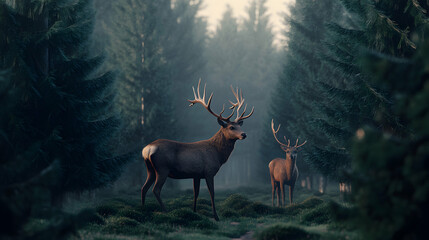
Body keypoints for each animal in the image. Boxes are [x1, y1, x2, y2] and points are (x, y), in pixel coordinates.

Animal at [140, 79, 254, 220]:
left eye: (239, 125)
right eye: (231, 127)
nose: (244, 134)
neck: (218, 154)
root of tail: (147, 149)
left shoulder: (196, 174)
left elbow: (196, 193)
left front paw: (194, 212)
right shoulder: (209, 171)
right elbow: (212, 193)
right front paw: (216, 216)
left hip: (150, 168)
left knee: (143, 188)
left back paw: (143, 210)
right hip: (162, 168)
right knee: (155, 189)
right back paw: (166, 212)